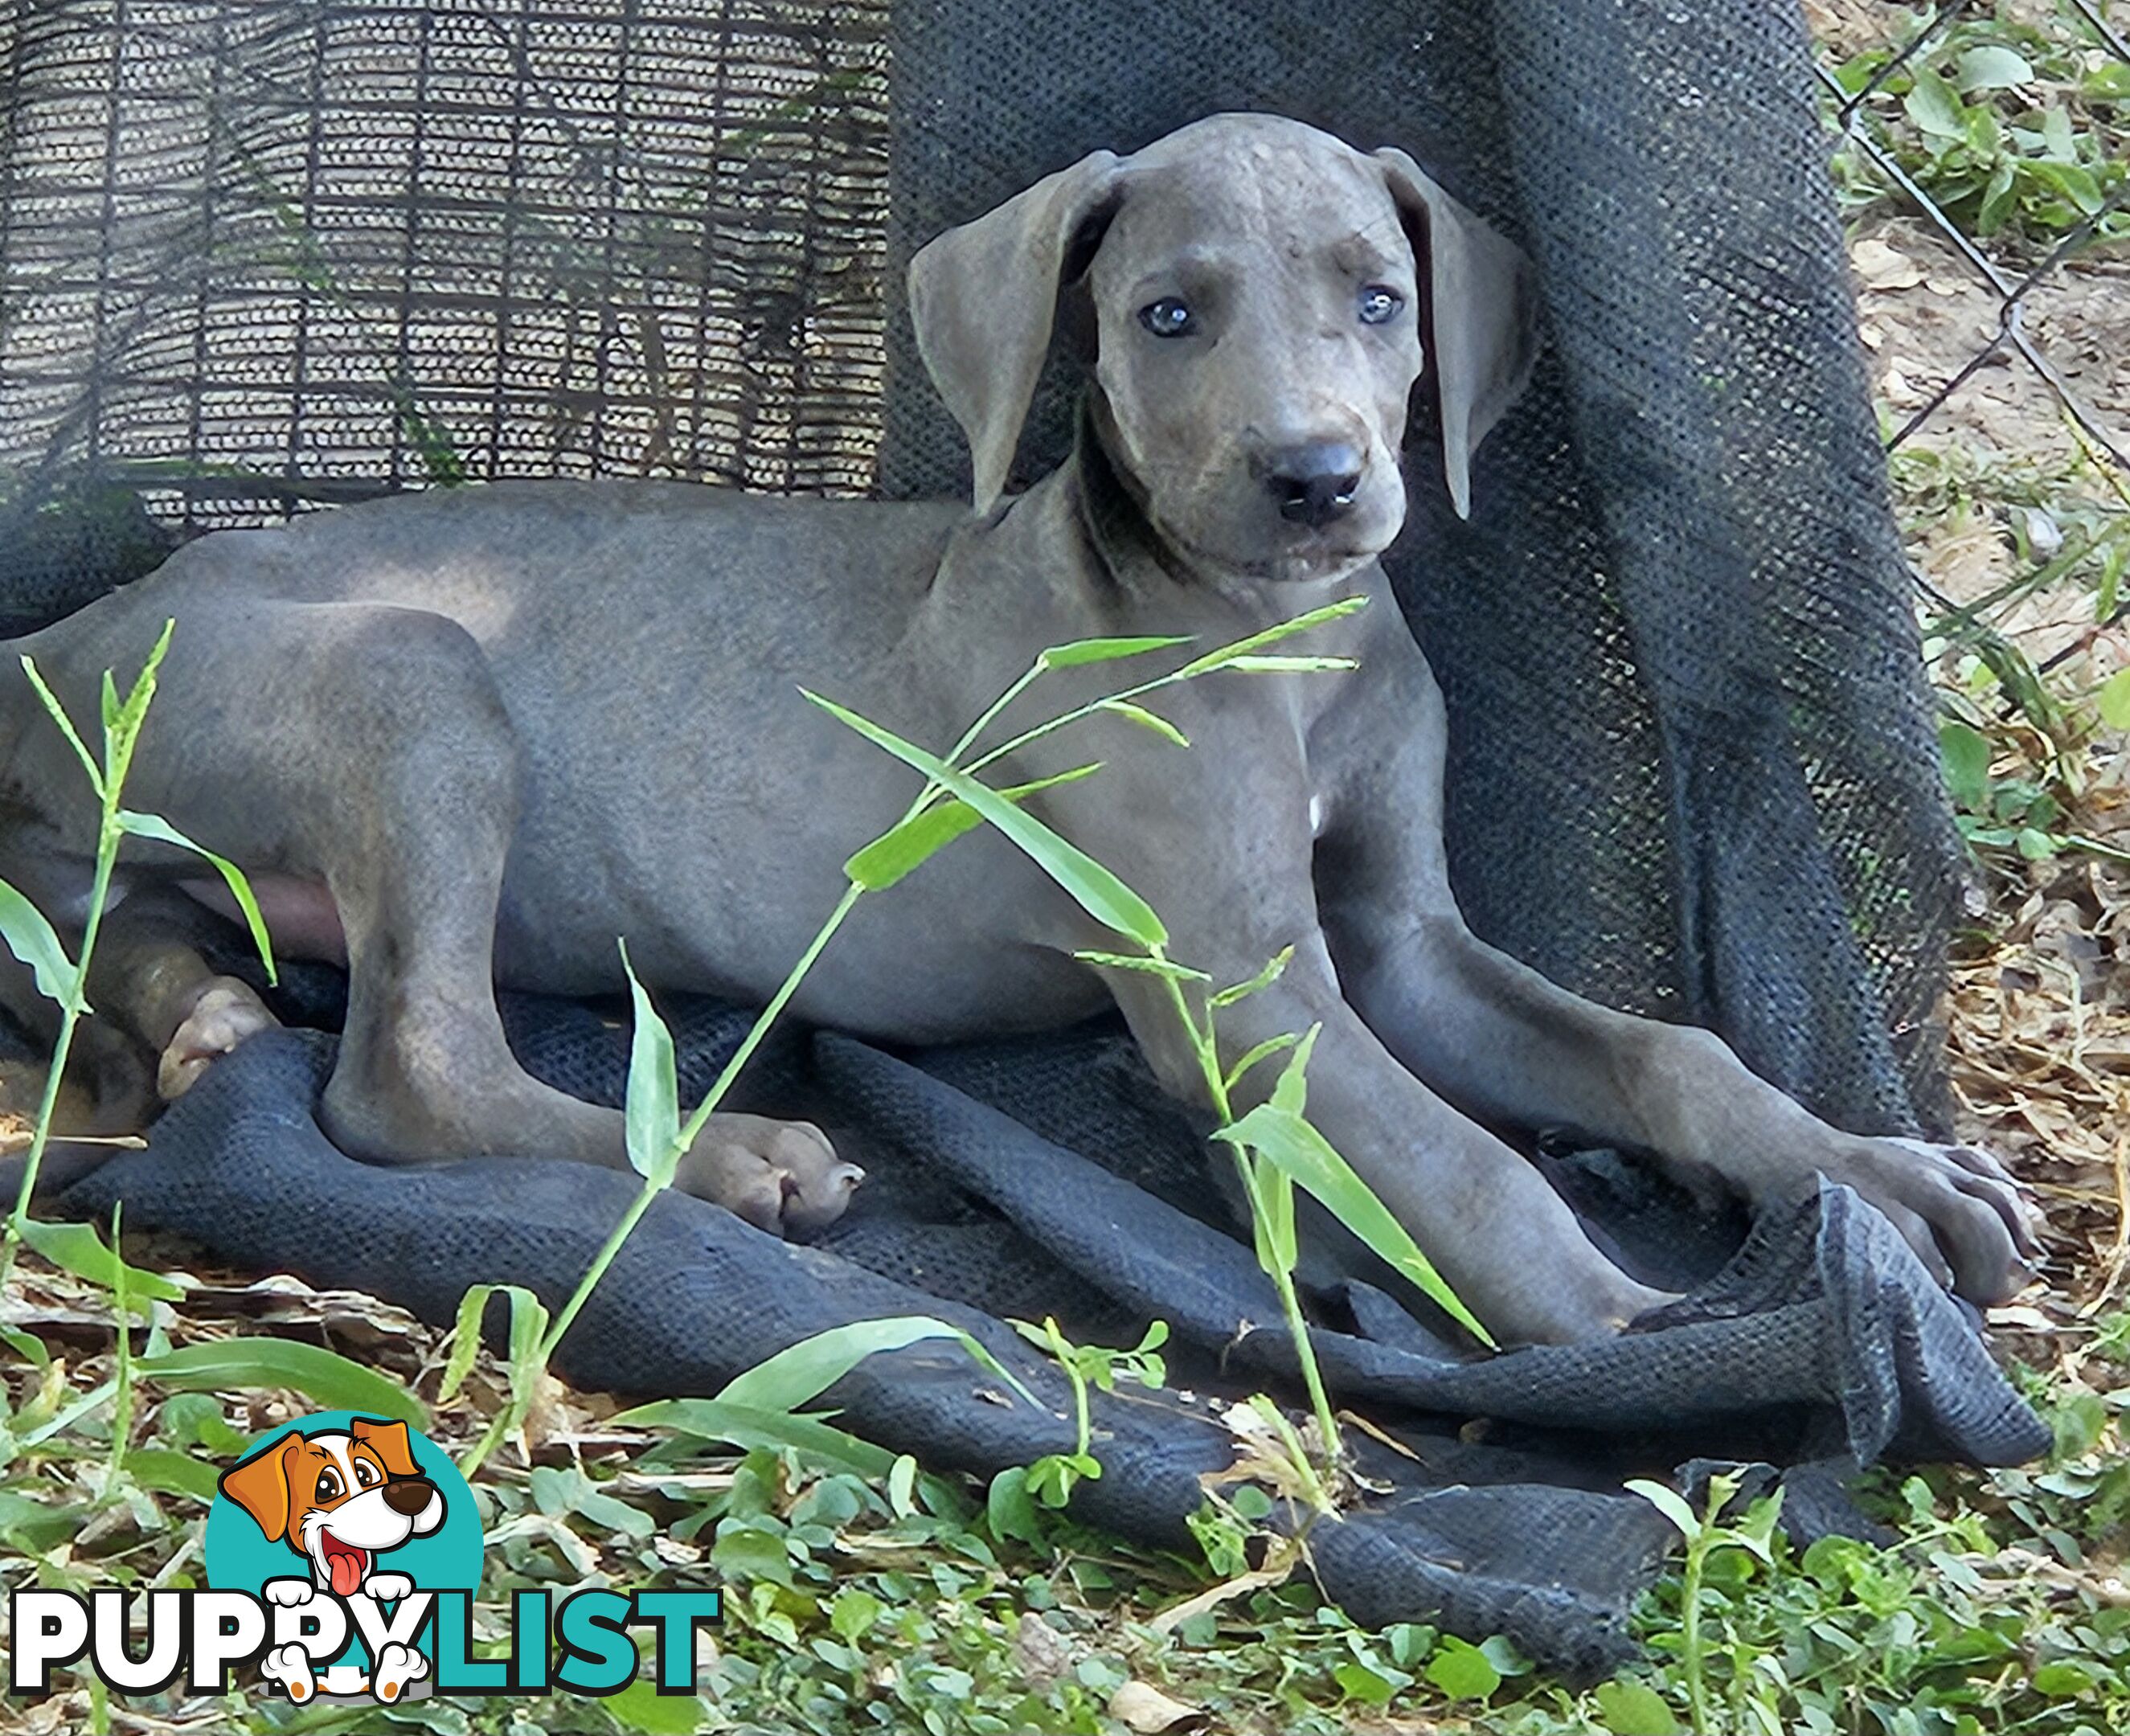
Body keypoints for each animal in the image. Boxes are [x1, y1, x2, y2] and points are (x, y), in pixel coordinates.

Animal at [0, 115, 2027, 1354]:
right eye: (1166, 314)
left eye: (1380, 301)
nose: (1315, 479)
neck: (1267, 642)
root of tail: (55, 636)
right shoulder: (1240, 991)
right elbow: (1467, 1156)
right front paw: (1623, 1326)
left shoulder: (1398, 943)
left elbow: (1660, 1049)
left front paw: (1867, 1173)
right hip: (414, 676)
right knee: (404, 1071)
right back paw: (726, 1162)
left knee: (167, 945)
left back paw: (204, 1019)